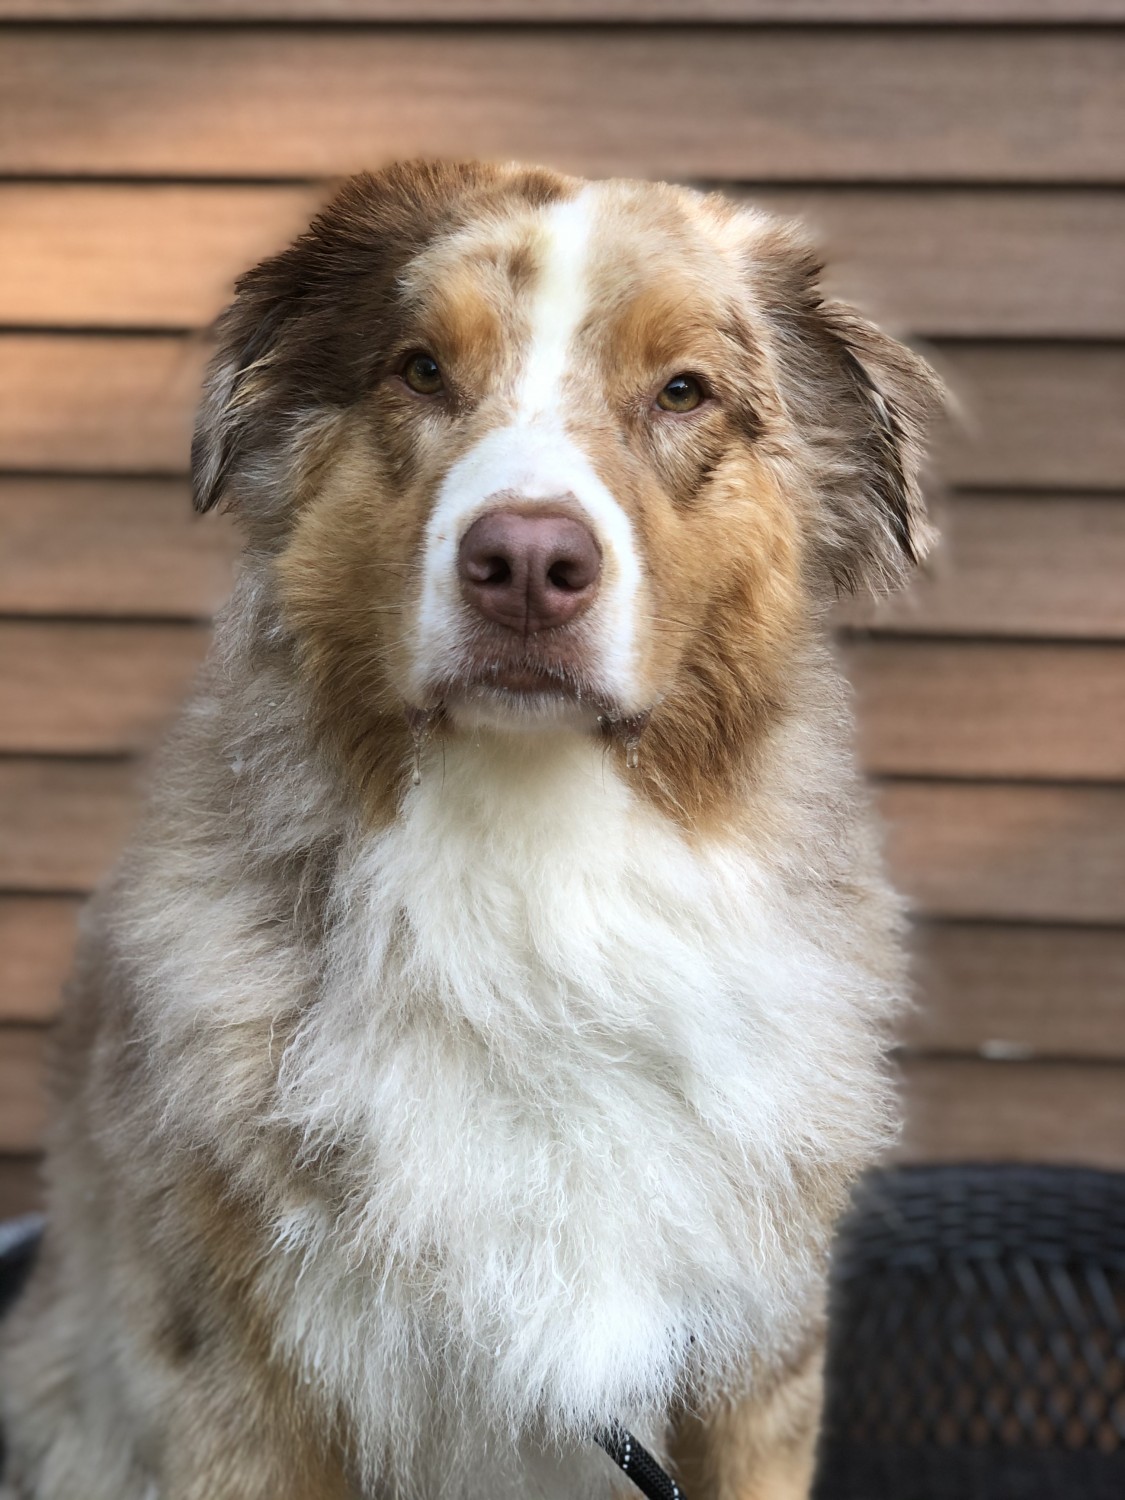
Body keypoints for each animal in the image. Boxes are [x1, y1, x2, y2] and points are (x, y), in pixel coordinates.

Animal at [0, 164, 948, 1500]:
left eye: (683, 390)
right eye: (420, 370)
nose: (529, 564)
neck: (534, 877)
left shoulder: (756, 1364)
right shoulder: (229, 1386)